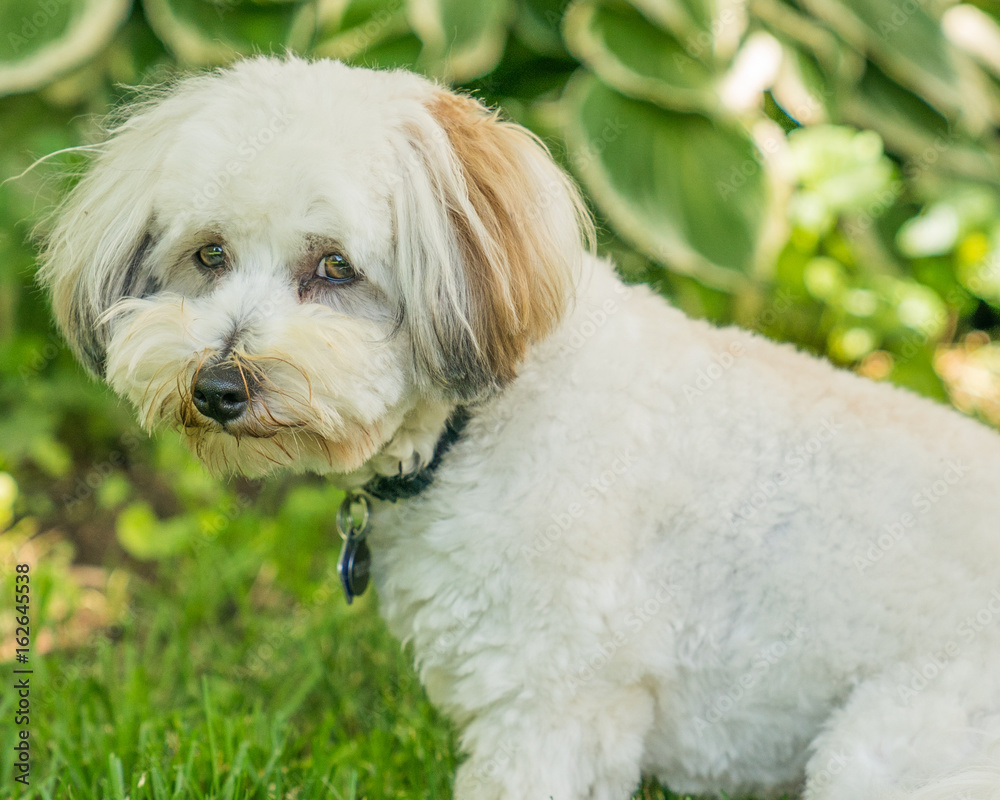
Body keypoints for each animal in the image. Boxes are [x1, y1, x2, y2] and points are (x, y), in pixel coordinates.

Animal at [43, 57, 1000, 800]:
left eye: (336, 267)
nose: (217, 386)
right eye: (209, 254)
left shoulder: (553, 706)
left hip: (885, 743)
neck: (477, 426)